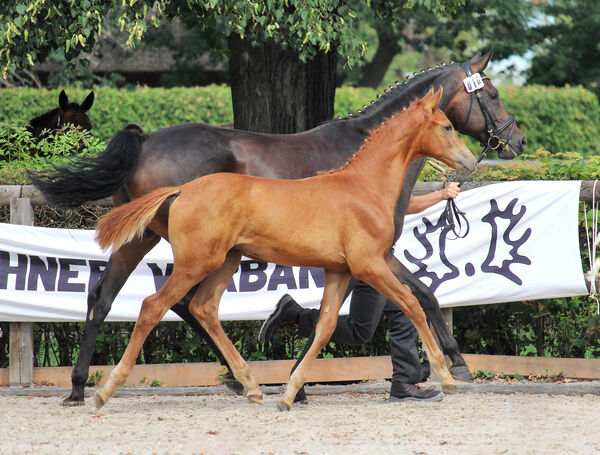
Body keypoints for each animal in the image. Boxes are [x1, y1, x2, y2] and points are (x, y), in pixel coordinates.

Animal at [96, 87, 476, 412]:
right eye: (446, 126)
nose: (471, 162)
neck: (364, 185)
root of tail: (182, 190)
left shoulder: (340, 270)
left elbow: (324, 327)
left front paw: (290, 393)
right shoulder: (369, 265)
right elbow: (413, 305)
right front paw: (446, 375)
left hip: (226, 261)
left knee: (203, 308)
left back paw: (250, 385)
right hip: (196, 263)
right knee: (153, 306)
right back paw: (105, 390)